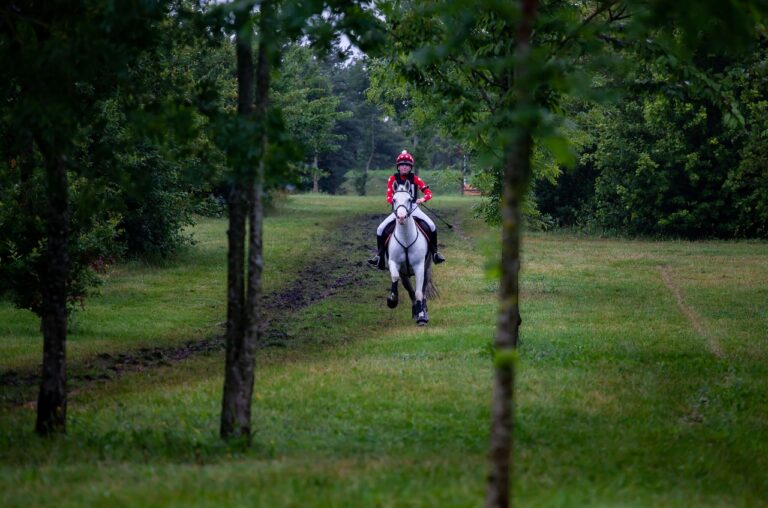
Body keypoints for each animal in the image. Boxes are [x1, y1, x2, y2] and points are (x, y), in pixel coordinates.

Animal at [388, 182, 436, 326]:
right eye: (394, 199)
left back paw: (423, 312)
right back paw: (415, 311)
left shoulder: (419, 266)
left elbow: (420, 292)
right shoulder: (393, 263)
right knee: (410, 291)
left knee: (423, 290)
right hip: (405, 275)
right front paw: (392, 300)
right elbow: (395, 277)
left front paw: (422, 317)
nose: (401, 217)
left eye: (409, 199)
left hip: (427, 268)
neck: (405, 238)